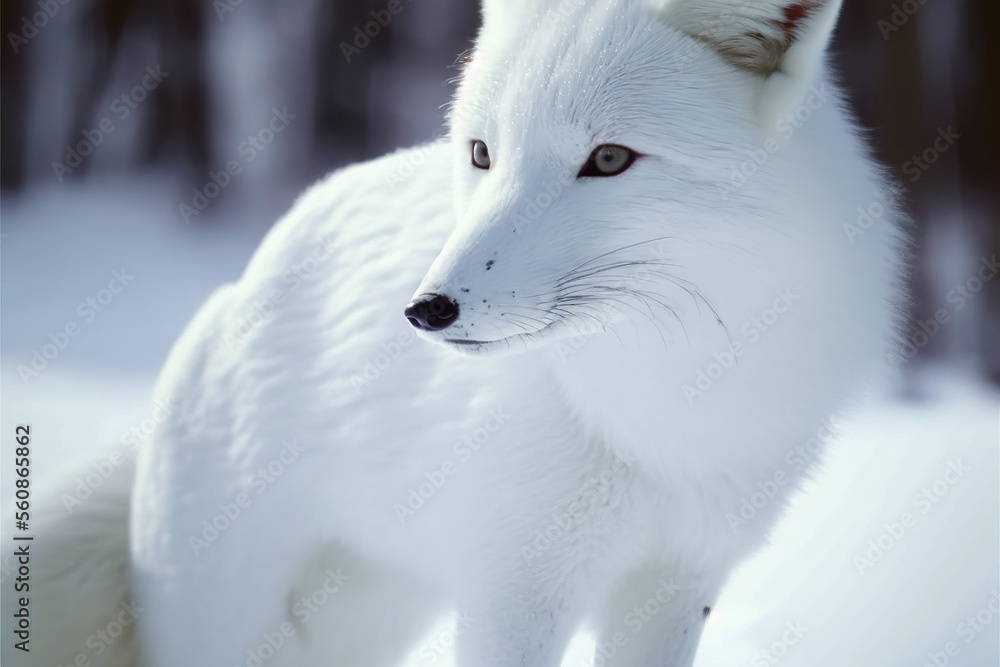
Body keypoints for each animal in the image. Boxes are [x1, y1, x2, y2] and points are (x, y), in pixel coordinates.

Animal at [4, 0, 908, 665]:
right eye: (482, 152)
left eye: (609, 159)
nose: (426, 310)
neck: (663, 411)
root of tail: (242, 284)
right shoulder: (514, 594)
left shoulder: (674, 586)